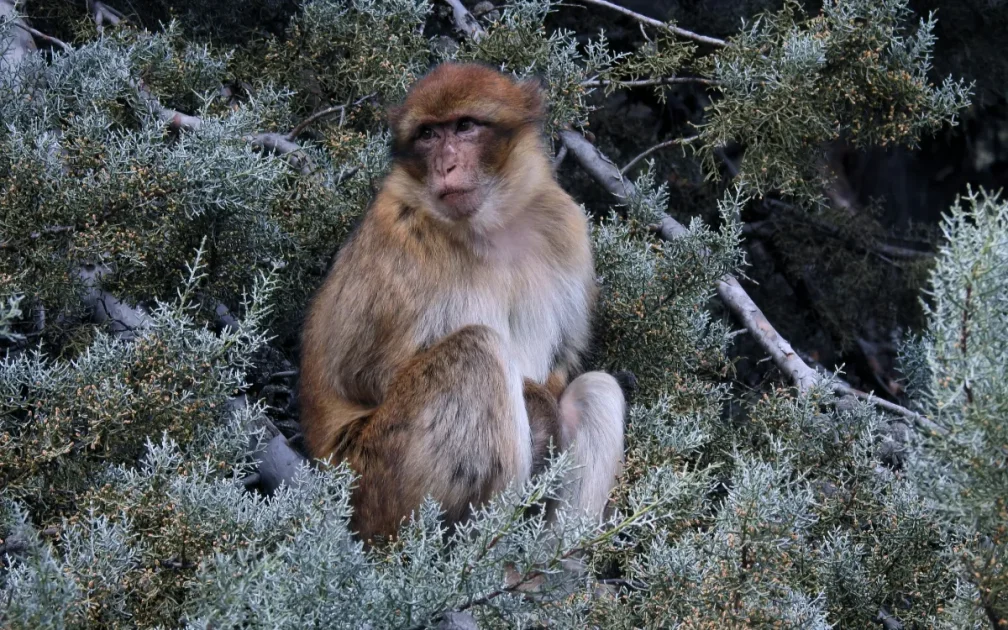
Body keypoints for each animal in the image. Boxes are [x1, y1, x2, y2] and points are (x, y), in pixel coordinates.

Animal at [298, 62, 625, 545]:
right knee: (478, 350)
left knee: (596, 391)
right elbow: (364, 377)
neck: (491, 227)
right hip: (375, 483)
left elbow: (562, 365)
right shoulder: (400, 238)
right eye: (428, 134)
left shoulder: (566, 224)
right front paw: (539, 411)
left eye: (465, 126)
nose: (446, 165)